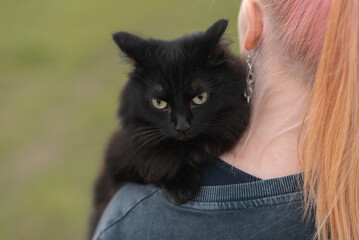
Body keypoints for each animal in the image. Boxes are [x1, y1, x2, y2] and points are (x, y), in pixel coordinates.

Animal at [90, 19, 250, 237]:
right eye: (159, 103)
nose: (182, 126)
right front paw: (183, 187)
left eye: (200, 98)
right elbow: (156, 159)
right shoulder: (122, 153)